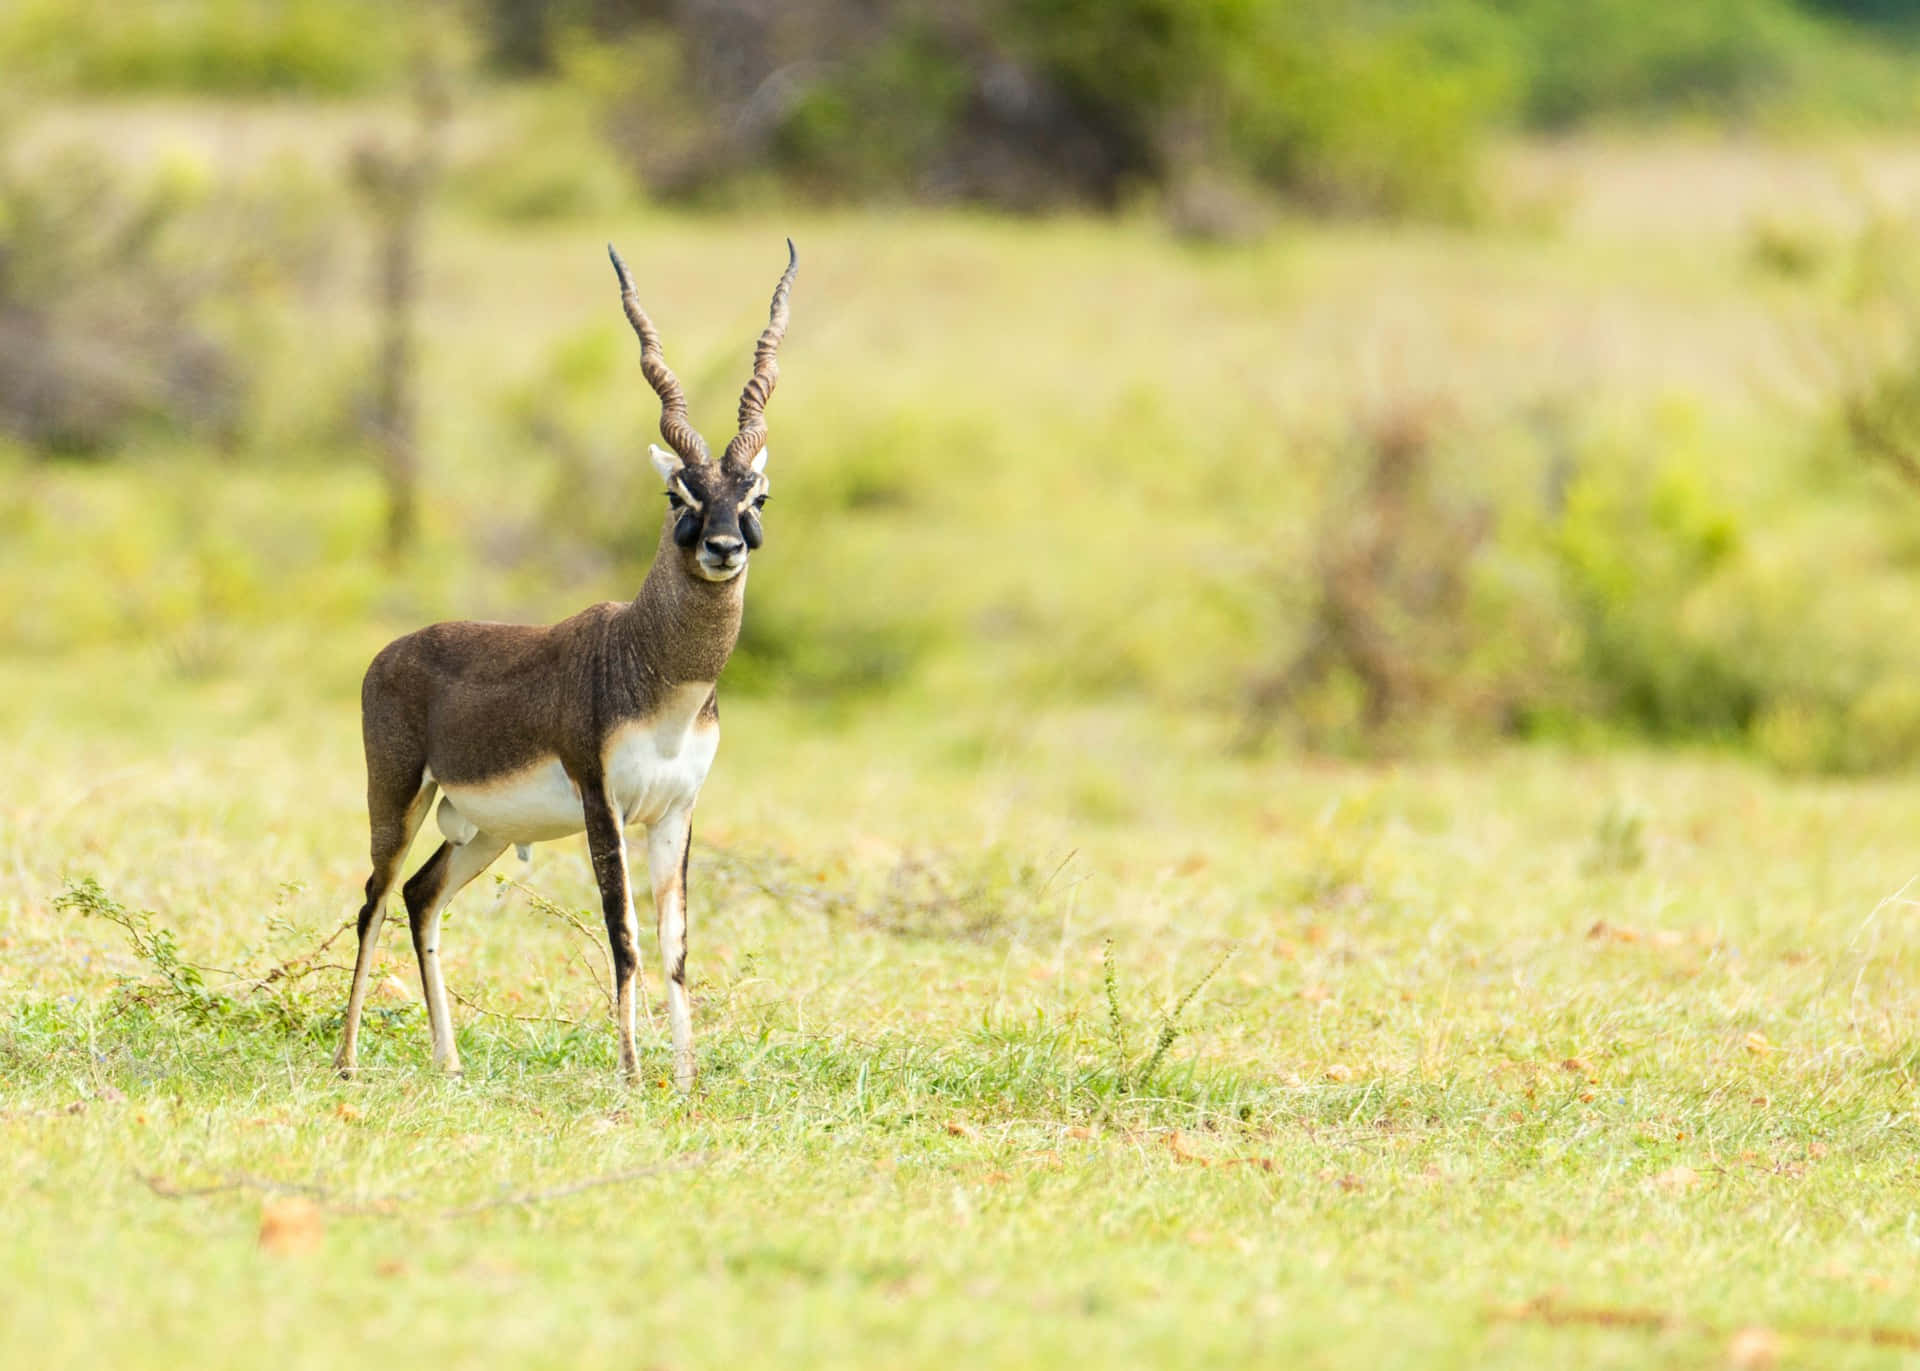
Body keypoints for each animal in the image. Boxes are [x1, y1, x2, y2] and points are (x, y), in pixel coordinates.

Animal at [334, 238, 798, 1090]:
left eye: (756, 494)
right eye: (680, 492)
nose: (724, 546)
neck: (657, 676)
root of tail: (392, 651)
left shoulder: (678, 810)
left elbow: (676, 949)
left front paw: (685, 1080)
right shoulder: (600, 799)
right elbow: (624, 937)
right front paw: (633, 1076)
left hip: (482, 829)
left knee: (421, 893)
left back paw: (449, 1061)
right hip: (399, 796)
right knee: (374, 898)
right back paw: (348, 1060)